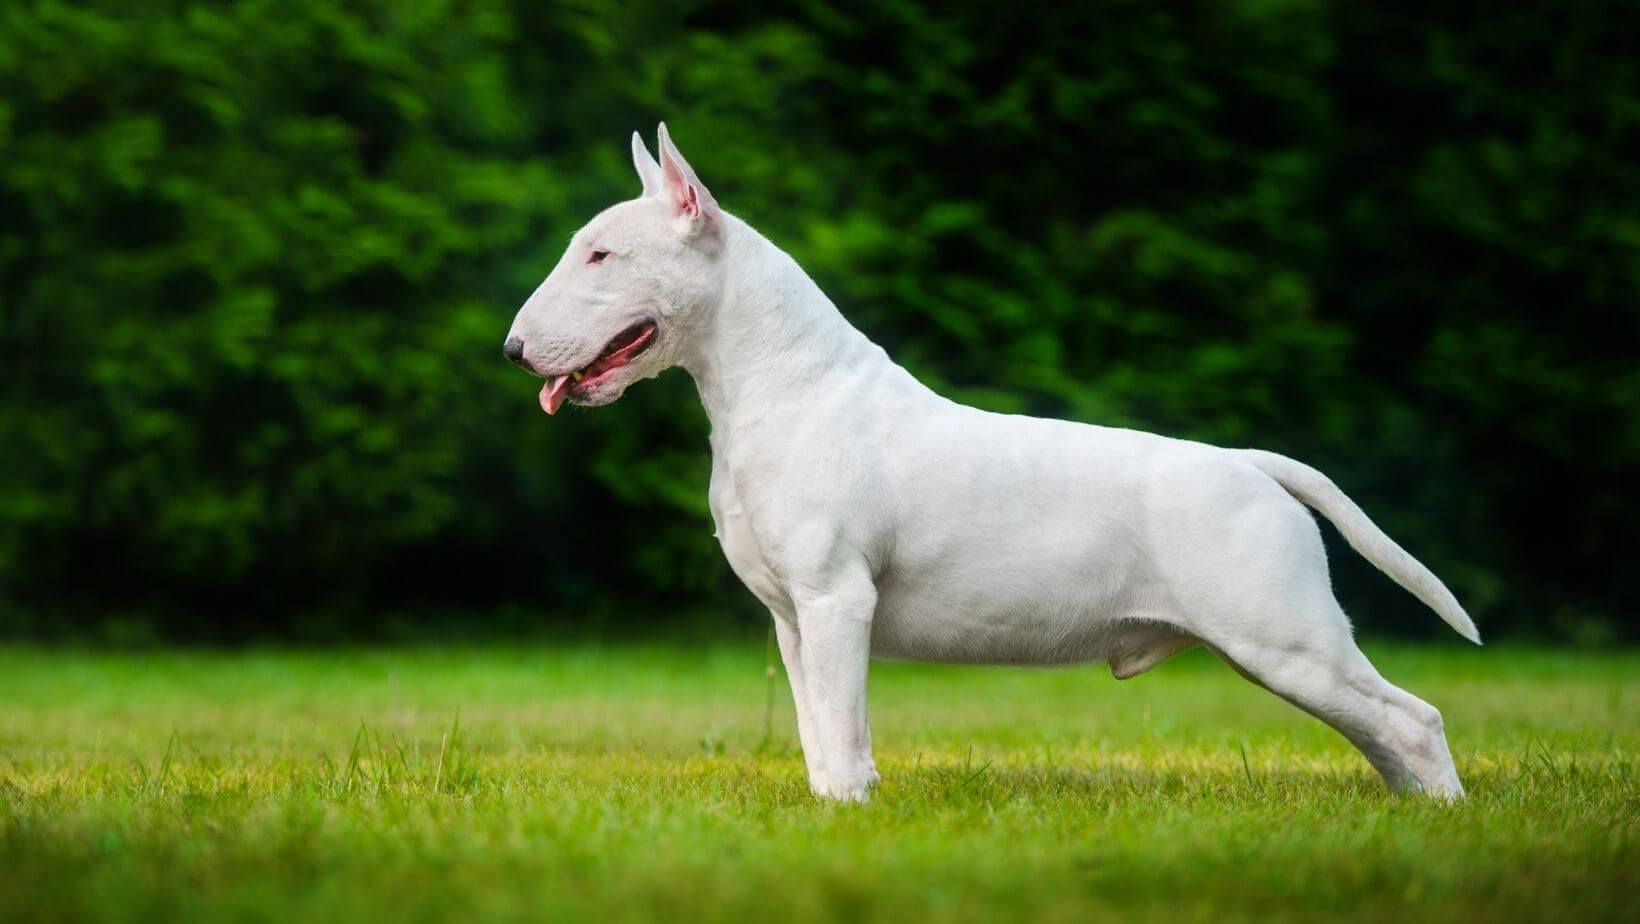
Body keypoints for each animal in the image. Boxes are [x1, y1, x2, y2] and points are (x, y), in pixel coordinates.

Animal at [495, 123, 1476, 804]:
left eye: (603, 253)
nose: (511, 350)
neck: (774, 384)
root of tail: (1253, 463)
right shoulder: (792, 618)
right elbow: (815, 724)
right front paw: (827, 803)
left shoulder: (837, 599)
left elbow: (843, 722)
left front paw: (849, 809)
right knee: (1385, 730)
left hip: (1285, 635)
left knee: (1414, 718)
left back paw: (1442, 815)